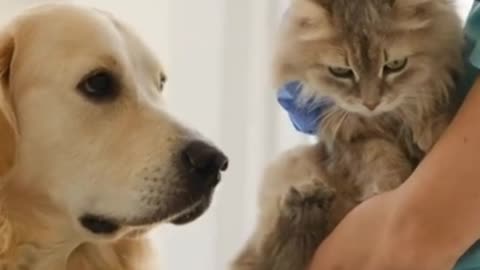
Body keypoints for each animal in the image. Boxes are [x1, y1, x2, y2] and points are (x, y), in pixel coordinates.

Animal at [232, 0, 464, 268]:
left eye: (395, 65)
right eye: (340, 72)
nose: (371, 103)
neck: (387, 120)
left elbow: (429, 112)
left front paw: (426, 131)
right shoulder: (351, 141)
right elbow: (380, 158)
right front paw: (390, 184)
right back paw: (303, 206)